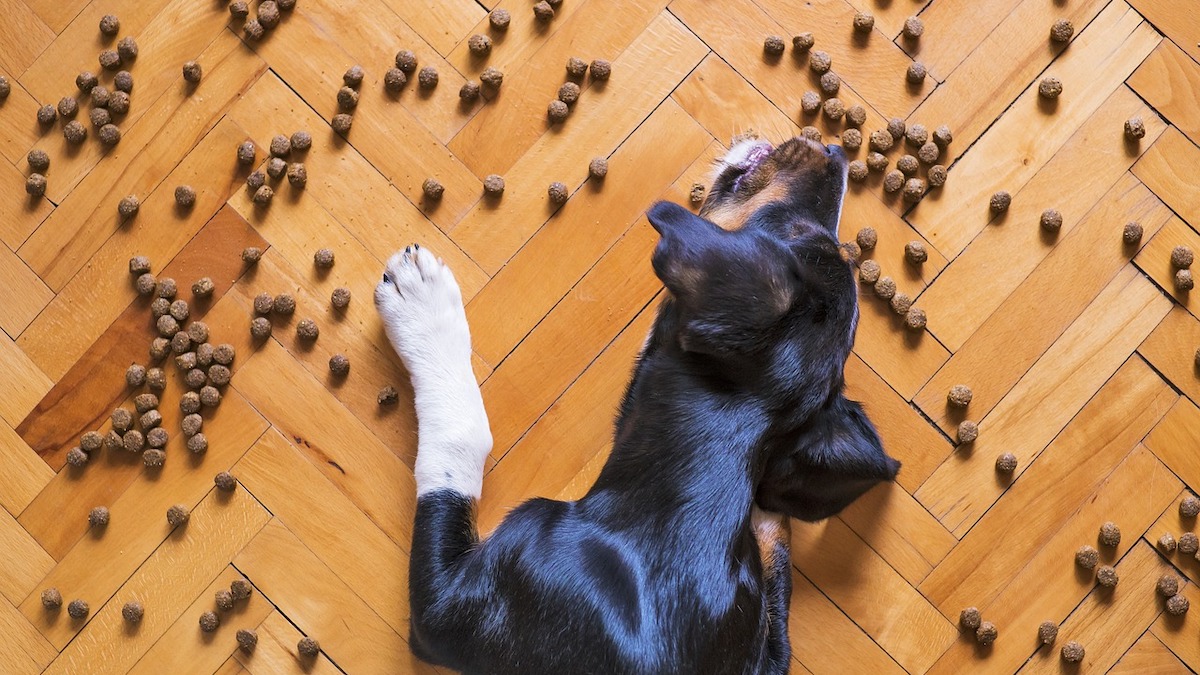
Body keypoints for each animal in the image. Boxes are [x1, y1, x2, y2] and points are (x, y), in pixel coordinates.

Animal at [374, 135, 902, 672]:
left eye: (795, 234)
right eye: (812, 236)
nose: (834, 151)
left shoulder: (449, 611)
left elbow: (460, 443)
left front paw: (421, 304)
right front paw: (768, 514)